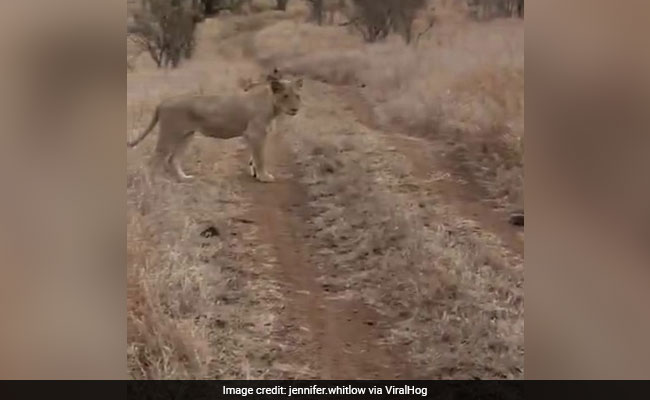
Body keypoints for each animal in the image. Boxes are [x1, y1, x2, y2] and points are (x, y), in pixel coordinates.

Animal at [127, 69, 302, 182]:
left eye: (297, 96)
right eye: (285, 96)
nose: (295, 109)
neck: (272, 105)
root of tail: (162, 103)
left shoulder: (253, 135)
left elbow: (253, 157)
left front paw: (254, 173)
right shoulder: (256, 133)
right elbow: (260, 158)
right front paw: (264, 177)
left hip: (186, 135)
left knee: (173, 159)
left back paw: (184, 178)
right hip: (169, 134)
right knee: (153, 161)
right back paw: (152, 185)